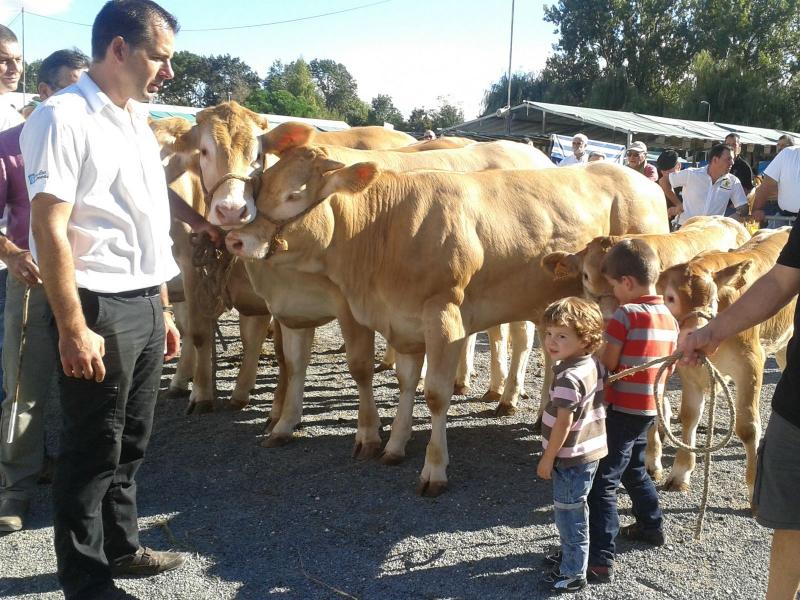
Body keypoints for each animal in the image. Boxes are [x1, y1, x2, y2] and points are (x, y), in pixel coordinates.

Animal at [225, 152, 668, 494]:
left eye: (294, 194)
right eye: (260, 187)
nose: (235, 240)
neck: (384, 228)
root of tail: (639, 179)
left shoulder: (444, 318)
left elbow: (435, 395)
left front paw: (434, 470)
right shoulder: (401, 320)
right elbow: (406, 381)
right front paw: (394, 445)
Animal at [656, 227, 792, 494]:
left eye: (712, 297)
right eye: (670, 298)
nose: (695, 333)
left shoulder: (751, 361)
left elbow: (747, 426)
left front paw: (752, 486)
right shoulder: (689, 369)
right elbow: (689, 415)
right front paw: (680, 472)